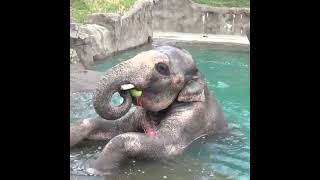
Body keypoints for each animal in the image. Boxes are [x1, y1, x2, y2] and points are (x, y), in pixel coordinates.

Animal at [71, 45, 229, 176]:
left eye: (162, 68)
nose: (123, 91)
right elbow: (116, 127)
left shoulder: (192, 115)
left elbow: (165, 145)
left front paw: (90, 168)